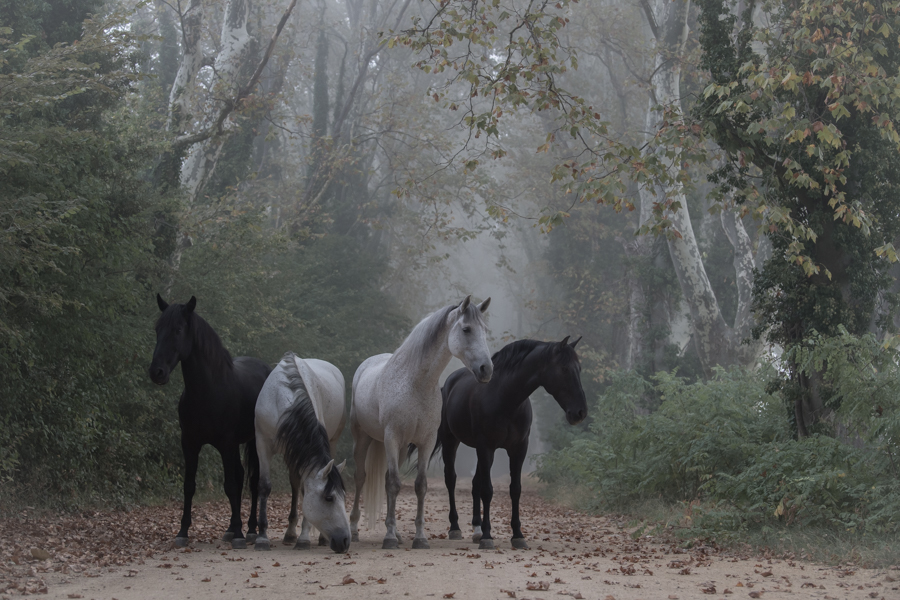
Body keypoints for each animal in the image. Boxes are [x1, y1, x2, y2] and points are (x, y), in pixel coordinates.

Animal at [148, 295, 270, 549]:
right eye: (157, 329)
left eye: (178, 329)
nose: (157, 372)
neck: (208, 391)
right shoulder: (190, 444)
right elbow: (189, 486)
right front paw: (183, 532)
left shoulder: (226, 443)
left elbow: (230, 486)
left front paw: (240, 535)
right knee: (241, 475)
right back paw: (231, 528)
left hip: (253, 441)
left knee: (253, 480)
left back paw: (251, 529)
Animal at [253, 352, 350, 553]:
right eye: (329, 498)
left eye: (344, 497)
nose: (345, 541)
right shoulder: (262, 444)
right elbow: (264, 486)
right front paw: (262, 538)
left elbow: (305, 491)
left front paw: (304, 539)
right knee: (295, 483)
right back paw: (290, 533)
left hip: (332, 441)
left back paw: (317, 538)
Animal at [349, 295, 493, 549]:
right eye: (466, 329)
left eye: (484, 330)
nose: (486, 370)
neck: (415, 383)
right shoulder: (392, 437)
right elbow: (394, 484)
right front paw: (389, 539)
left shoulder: (425, 441)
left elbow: (420, 485)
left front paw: (419, 537)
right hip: (364, 439)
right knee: (360, 477)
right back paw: (356, 529)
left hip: (400, 448)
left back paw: (396, 533)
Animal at [434, 337, 587, 550]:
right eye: (564, 368)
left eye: (579, 368)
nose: (580, 412)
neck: (505, 399)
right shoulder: (486, 447)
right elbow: (487, 491)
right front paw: (488, 537)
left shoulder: (518, 449)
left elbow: (515, 489)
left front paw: (517, 535)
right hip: (452, 442)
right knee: (451, 480)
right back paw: (455, 528)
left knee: (474, 483)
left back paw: (476, 529)